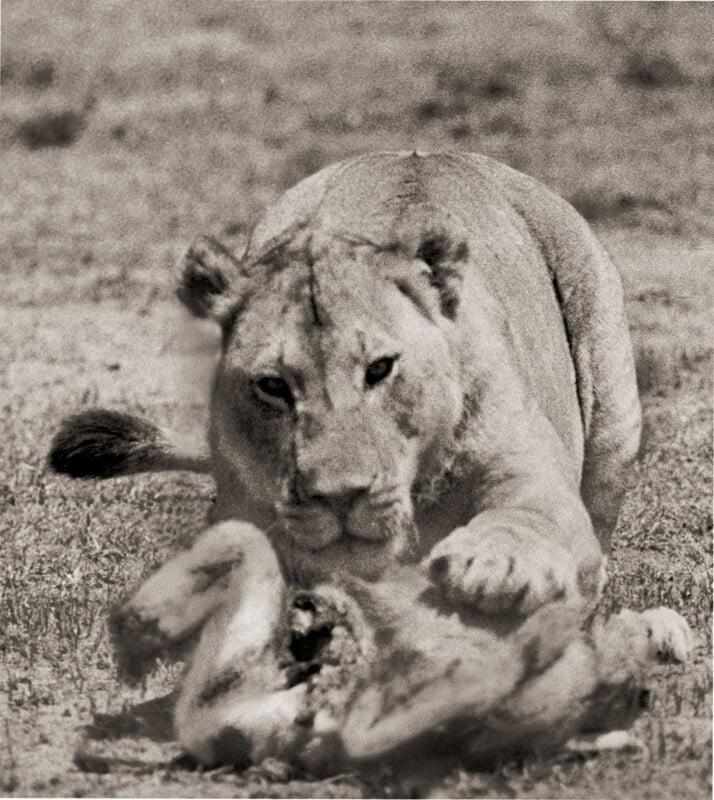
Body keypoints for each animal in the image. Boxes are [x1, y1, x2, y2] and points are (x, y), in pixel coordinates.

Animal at [51, 151, 641, 616]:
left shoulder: (531, 475)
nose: (339, 499)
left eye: (379, 368)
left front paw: (492, 566)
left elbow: (528, 517)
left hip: (612, 420)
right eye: (273, 386)